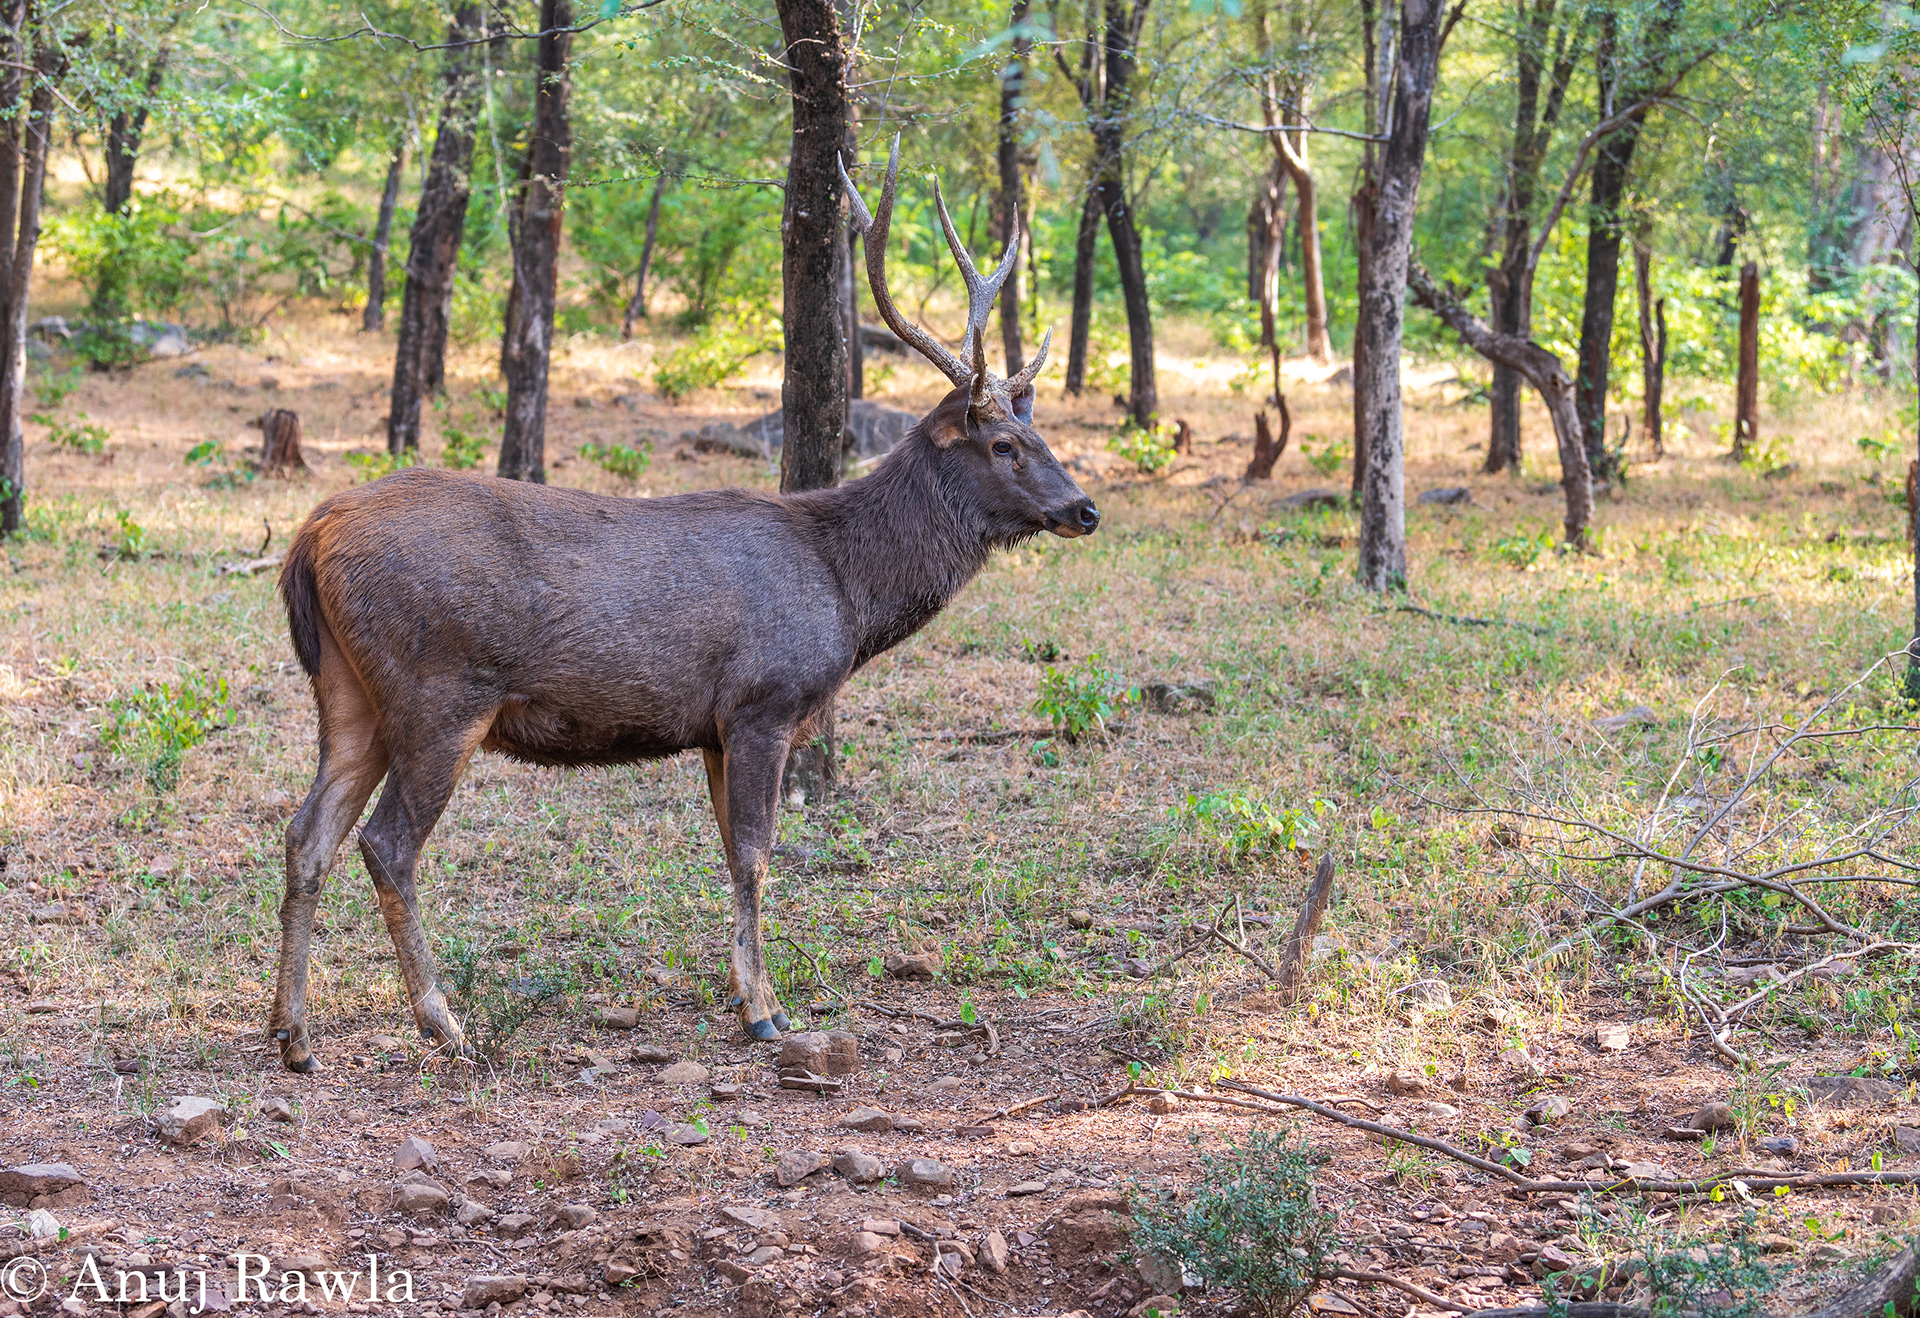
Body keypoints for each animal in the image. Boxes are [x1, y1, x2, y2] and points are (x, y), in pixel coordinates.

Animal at [276, 139, 1105, 1075]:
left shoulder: (712, 726)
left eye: (1043, 435)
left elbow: (729, 851)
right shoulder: (762, 700)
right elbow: (754, 855)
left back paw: (294, 1035)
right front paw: (767, 1013)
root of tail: (309, 538)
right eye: (1004, 445)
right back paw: (441, 1020)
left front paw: (748, 996)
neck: (846, 587)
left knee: (307, 833)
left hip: (349, 689)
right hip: (439, 688)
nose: (1085, 509)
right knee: (386, 843)